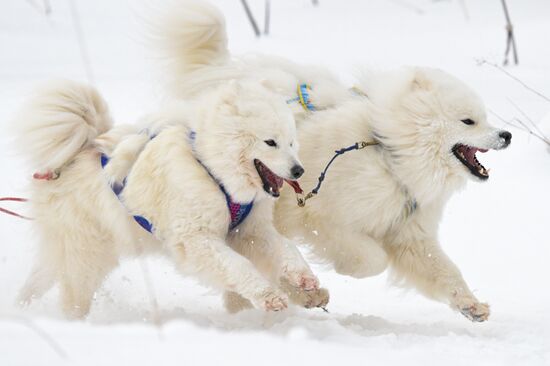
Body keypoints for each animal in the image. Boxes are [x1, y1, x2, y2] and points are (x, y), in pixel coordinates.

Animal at [15, 79, 330, 318]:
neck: (213, 171)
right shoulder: (197, 239)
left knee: (40, 278)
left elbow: (287, 247)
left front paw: (304, 277)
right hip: (86, 254)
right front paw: (269, 296)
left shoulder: (249, 231)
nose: (299, 170)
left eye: (292, 142)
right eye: (270, 142)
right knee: (72, 293)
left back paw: (22, 307)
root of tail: (72, 156)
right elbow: (237, 266)